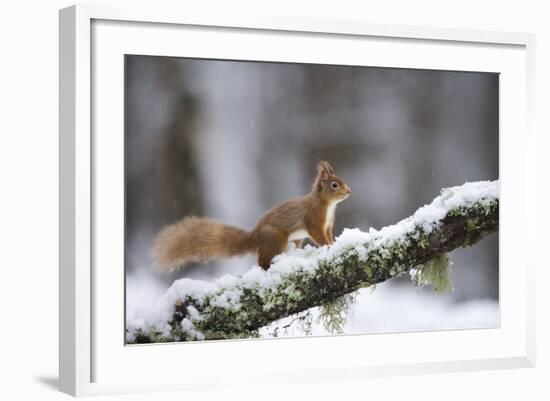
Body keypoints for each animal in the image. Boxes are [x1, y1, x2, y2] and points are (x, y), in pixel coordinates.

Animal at [154, 161, 354, 270]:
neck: (327, 205)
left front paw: (334, 243)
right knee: (262, 261)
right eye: (334, 185)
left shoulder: (328, 225)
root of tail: (255, 236)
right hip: (276, 238)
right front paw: (328, 246)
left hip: (292, 241)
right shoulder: (314, 220)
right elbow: (318, 236)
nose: (349, 191)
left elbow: (329, 235)